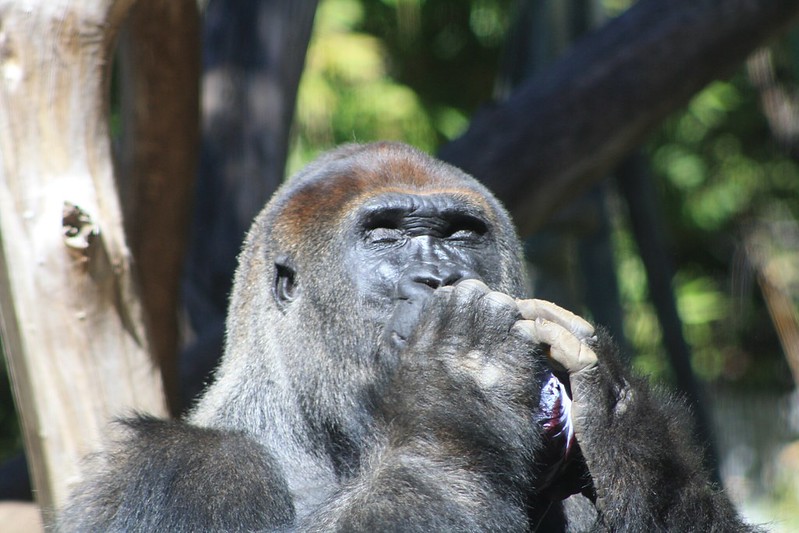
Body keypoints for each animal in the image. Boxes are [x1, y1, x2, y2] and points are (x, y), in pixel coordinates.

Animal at [59, 142, 757, 531]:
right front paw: (461, 380)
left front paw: (614, 410)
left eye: (460, 233)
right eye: (387, 234)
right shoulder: (176, 470)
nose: (438, 277)